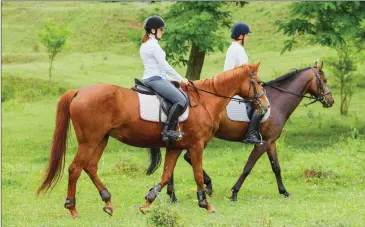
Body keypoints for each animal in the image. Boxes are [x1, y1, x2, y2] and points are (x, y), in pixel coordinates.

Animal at [37, 62, 268, 218]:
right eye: (257, 83)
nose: (265, 106)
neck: (205, 102)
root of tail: (79, 92)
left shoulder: (176, 148)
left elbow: (165, 176)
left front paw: (147, 202)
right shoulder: (196, 146)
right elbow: (197, 176)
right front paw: (207, 205)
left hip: (101, 139)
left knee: (90, 167)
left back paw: (108, 201)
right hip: (89, 141)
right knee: (75, 169)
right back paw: (72, 208)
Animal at [147, 60, 332, 202]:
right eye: (324, 80)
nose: (331, 100)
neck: (277, 103)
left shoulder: (270, 142)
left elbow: (276, 167)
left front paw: (284, 192)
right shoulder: (262, 143)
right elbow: (248, 167)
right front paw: (234, 192)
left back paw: (173, 195)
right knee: (185, 157)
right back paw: (196, 188)